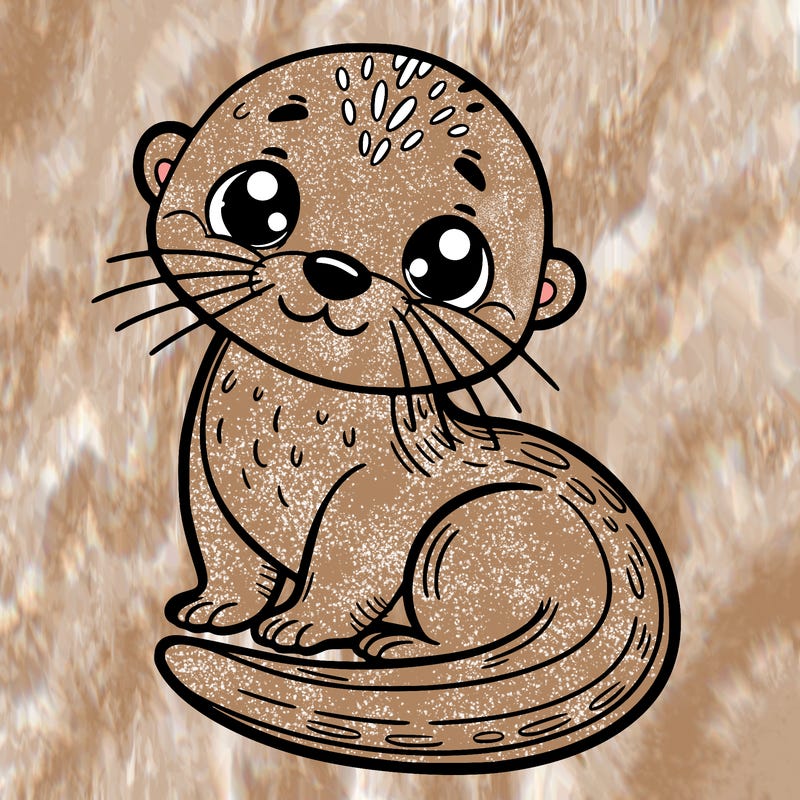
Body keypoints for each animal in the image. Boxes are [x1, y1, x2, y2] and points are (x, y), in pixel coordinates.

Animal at [100, 44, 679, 773]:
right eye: (256, 200)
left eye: (450, 261)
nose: (336, 269)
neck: (284, 432)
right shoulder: (205, 474)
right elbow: (225, 552)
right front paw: (214, 607)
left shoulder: (378, 499)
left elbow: (349, 567)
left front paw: (301, 624)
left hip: (464, 534)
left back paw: (401, 645)